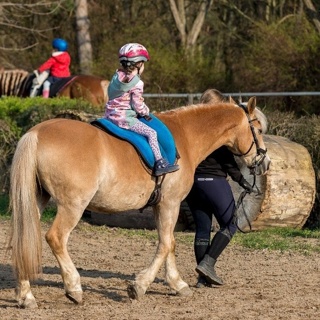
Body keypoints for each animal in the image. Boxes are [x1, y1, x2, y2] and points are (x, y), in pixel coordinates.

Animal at [8, 95, 270, 308]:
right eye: (258, 130)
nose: (264, 161)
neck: (185, 135)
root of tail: (36, 133)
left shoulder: (161, 206)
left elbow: (170, 243)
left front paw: (177, 284)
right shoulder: (170, 204)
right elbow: (165, 244)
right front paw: (140, 286)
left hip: (35, 203)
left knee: (24, 238)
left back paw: (26, 296)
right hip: (73, 206)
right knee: (56, 238)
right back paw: (74, 288)